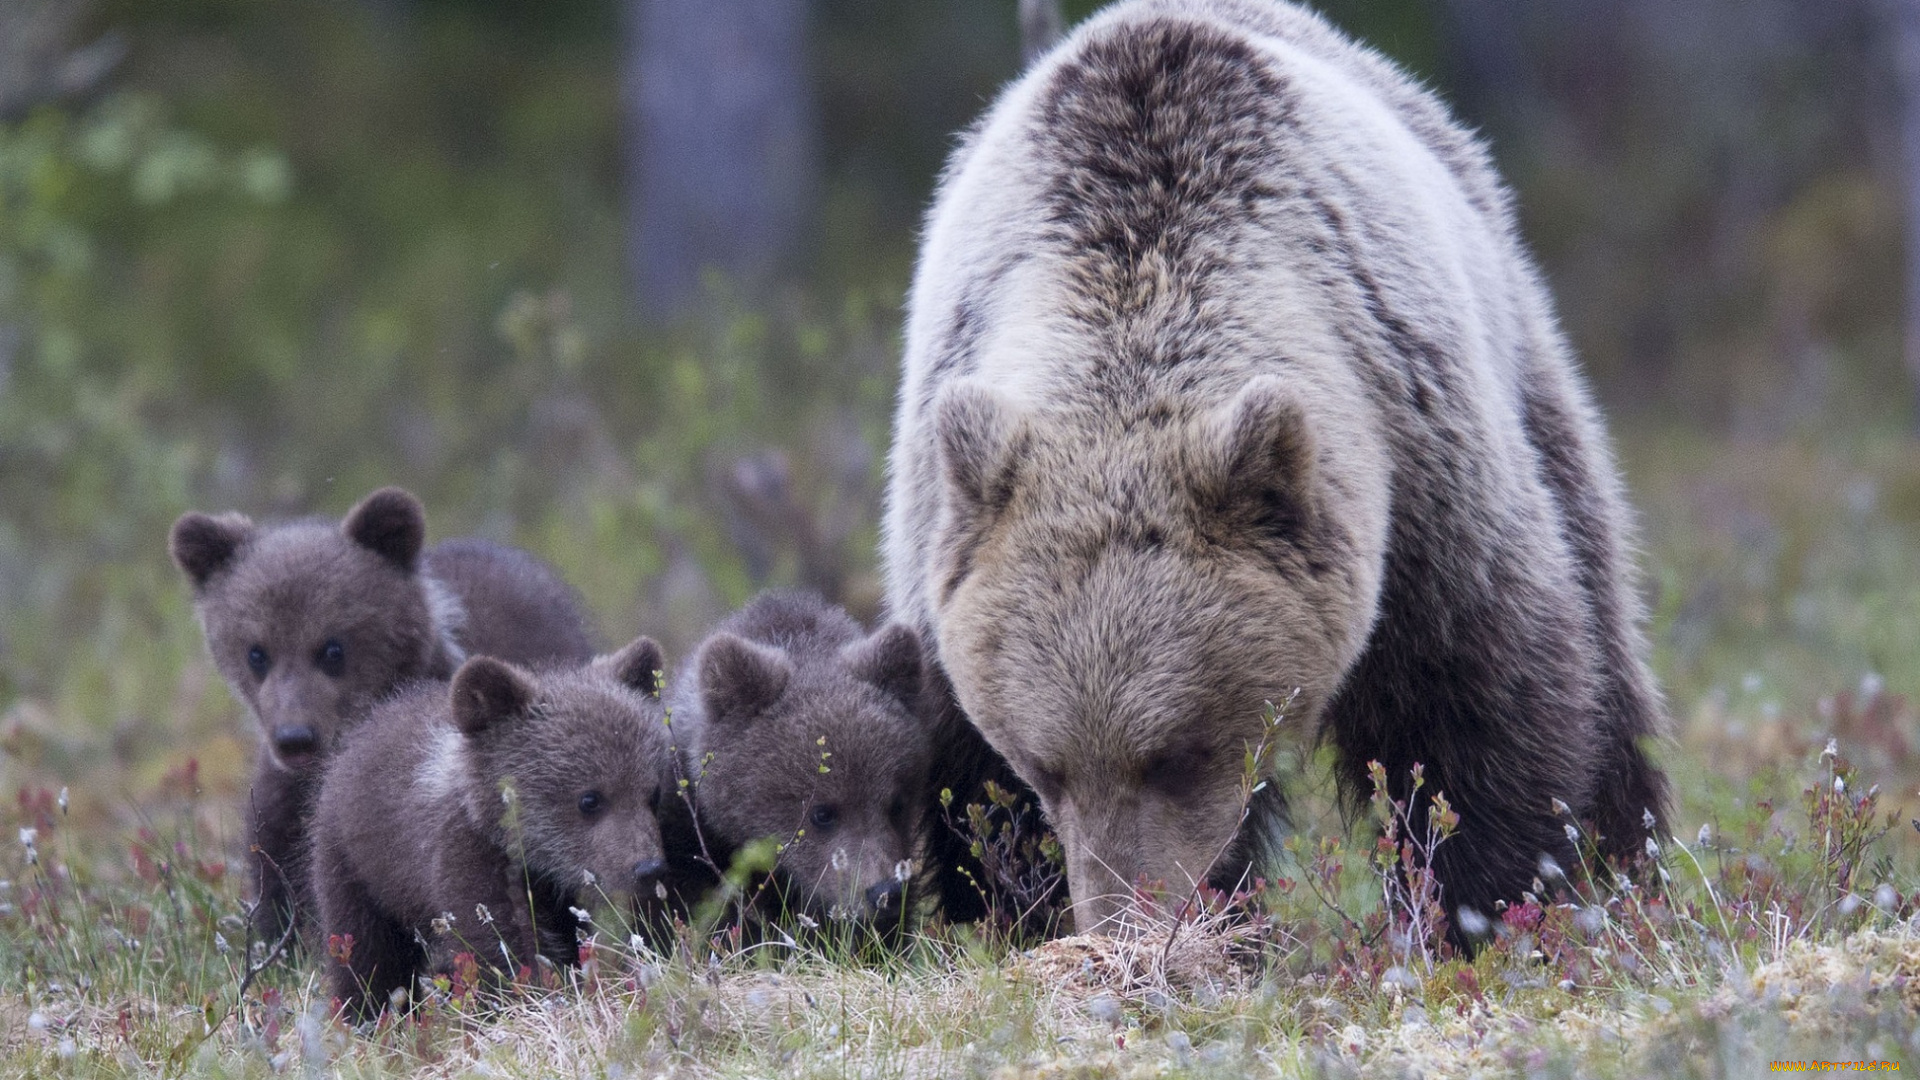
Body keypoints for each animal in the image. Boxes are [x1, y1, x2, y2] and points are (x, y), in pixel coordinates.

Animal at [883, 0, 1666, 933]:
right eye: (1044, 765)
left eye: (1180, 752)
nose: (1126, 914)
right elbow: (968, 785)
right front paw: (1022, 909)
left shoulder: (1423, 468)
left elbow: (1478, 702)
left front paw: (1485, 903)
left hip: (1518, 350)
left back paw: (1632, 853)